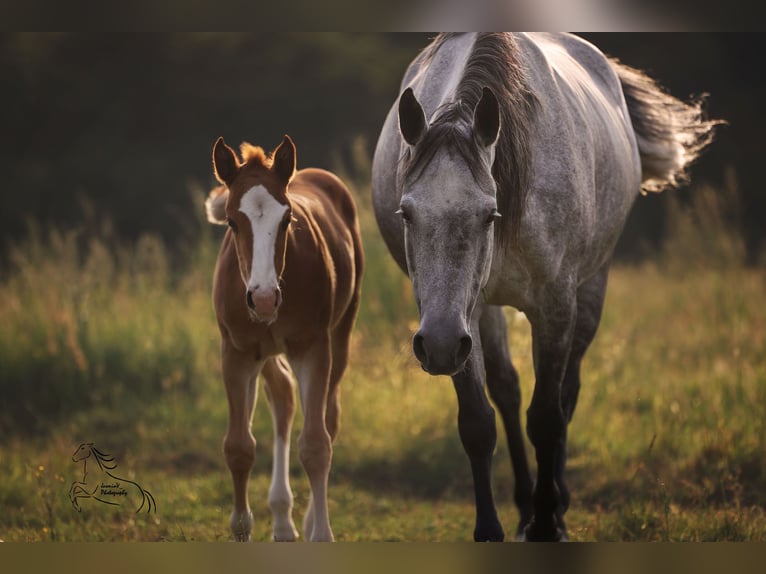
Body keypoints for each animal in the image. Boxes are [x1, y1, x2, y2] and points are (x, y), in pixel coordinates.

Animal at [206, 134, 363, 542]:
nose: (263, 298)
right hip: (265, 352)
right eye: (232, 221)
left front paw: (321, 533)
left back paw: (303, 521)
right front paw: (242, 527)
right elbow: (238, 446)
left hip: (340, 335)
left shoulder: (313, 348)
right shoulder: (237, 352)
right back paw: (281, 518)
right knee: (283, 397)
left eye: (287, 219)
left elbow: (316, 445)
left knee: (326, 417)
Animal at [371, 33, 721, 541]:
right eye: (406, 214)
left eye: (489, 214)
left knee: (566, 392)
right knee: (508, 390)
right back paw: (523, 505)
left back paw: (555, 504)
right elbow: (478, 421)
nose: (436, 347)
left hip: (590, 287)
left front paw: (546, 523)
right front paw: (491, 528)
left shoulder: (554, 305)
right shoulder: (460, 316)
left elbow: (547, 417)